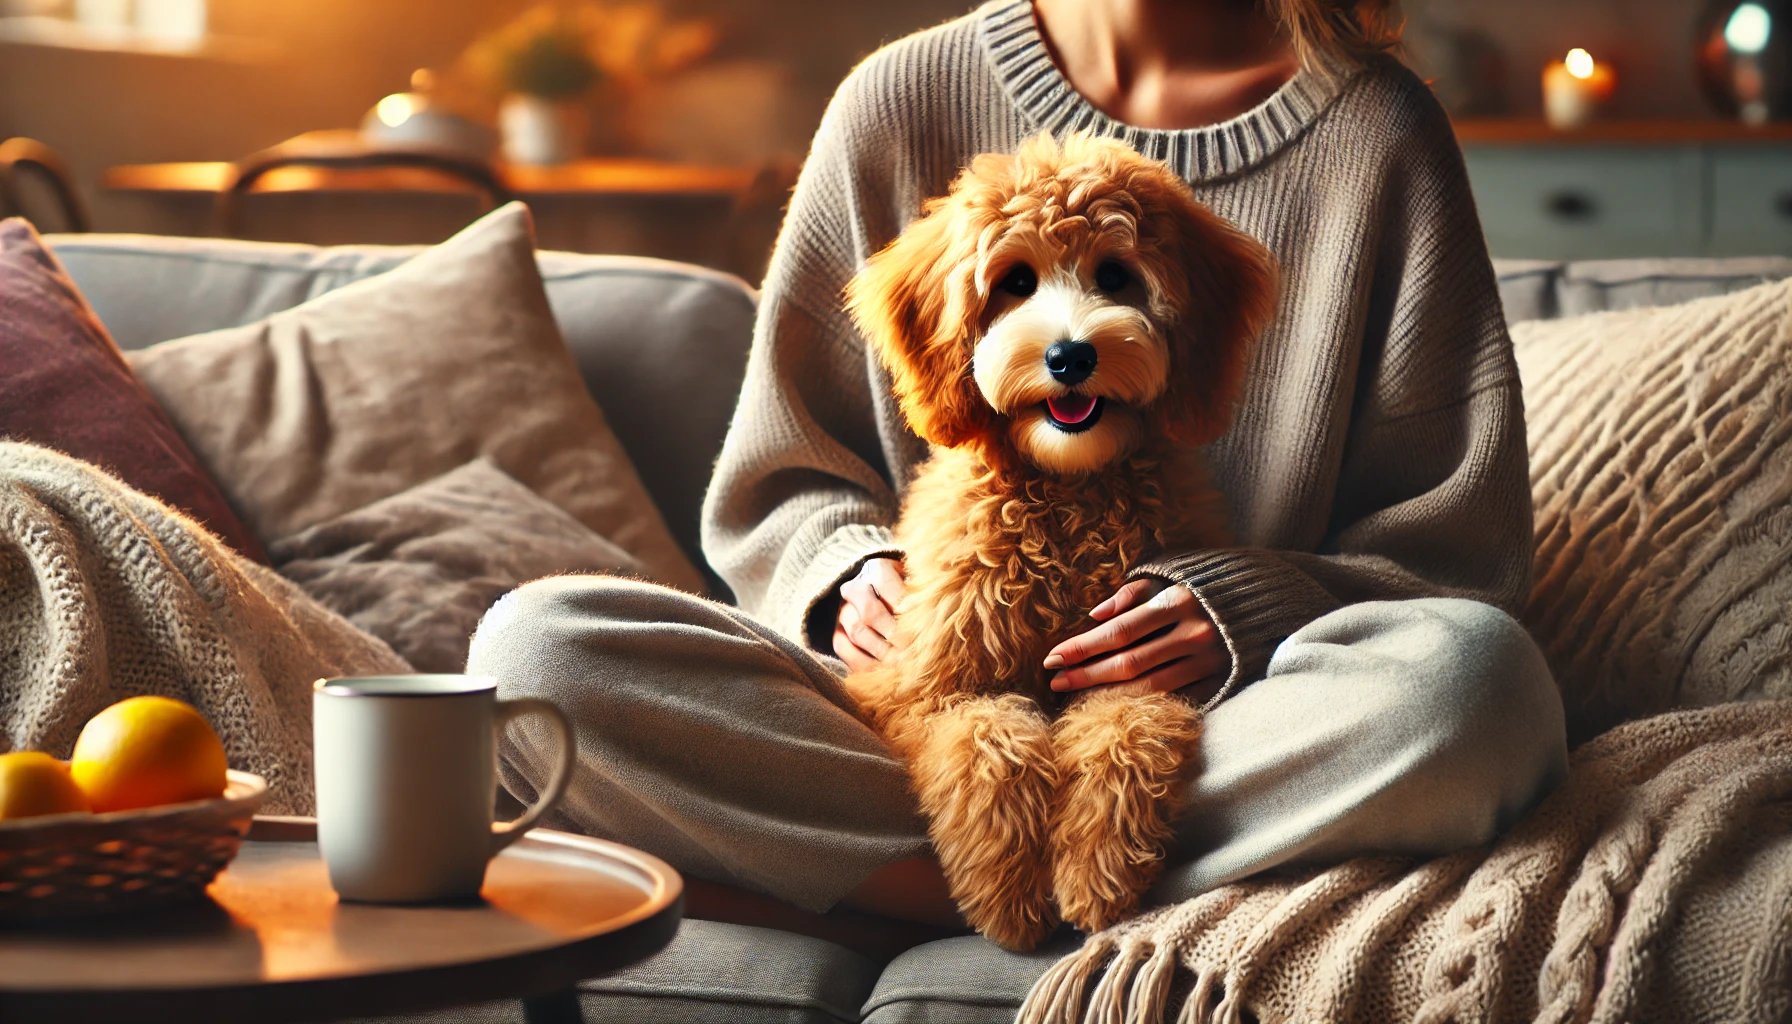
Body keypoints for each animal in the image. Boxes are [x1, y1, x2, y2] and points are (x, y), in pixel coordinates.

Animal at [838, 131, 1275, 946]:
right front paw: (1007, 891)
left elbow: (1123, 731)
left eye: (1116, 275)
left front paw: (1094, 870)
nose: (1070, 356)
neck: (1068, 494)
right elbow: (986, 741)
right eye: (1014, 281)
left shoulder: (1141, 662)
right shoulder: (922, 688)